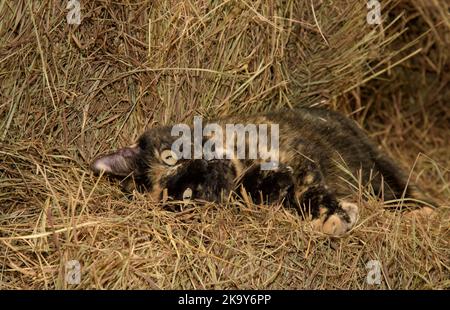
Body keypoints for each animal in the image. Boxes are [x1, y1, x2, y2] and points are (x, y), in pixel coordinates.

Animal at [90, 108, 432, 236]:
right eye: (188, 194)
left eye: (171, 157)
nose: (205, 167)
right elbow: (269, 189)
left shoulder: (299, 153)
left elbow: (309, 187)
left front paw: (335, 214)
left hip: (377, 166)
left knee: (401, 191)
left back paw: (419, 214)